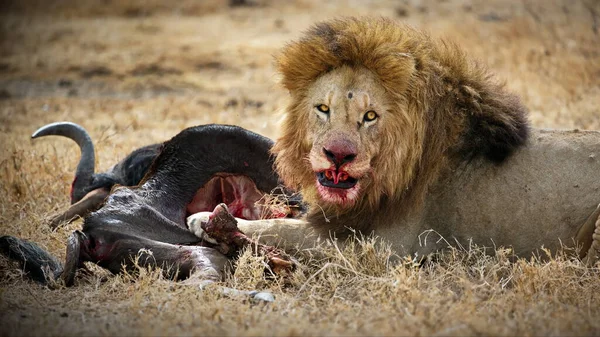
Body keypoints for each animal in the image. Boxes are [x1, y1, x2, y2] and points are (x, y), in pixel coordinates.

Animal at [189, 16, 600, 262]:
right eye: (323, 109)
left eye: (370, 116)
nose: (338, 155)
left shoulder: (386, 248)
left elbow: (286, 229)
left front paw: (210, 220)